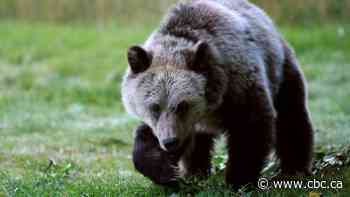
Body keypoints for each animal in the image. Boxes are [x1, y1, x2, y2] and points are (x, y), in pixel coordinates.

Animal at [121, 0, 314, 189]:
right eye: (154, 107)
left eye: (182, 105)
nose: (170, 141)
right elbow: (148, 138)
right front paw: (164, 170)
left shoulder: (240, 86)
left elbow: (250, 129)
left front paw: (238, 180)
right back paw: (195, 172)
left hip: (280, 71)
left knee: (291, 117)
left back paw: (294, 169)